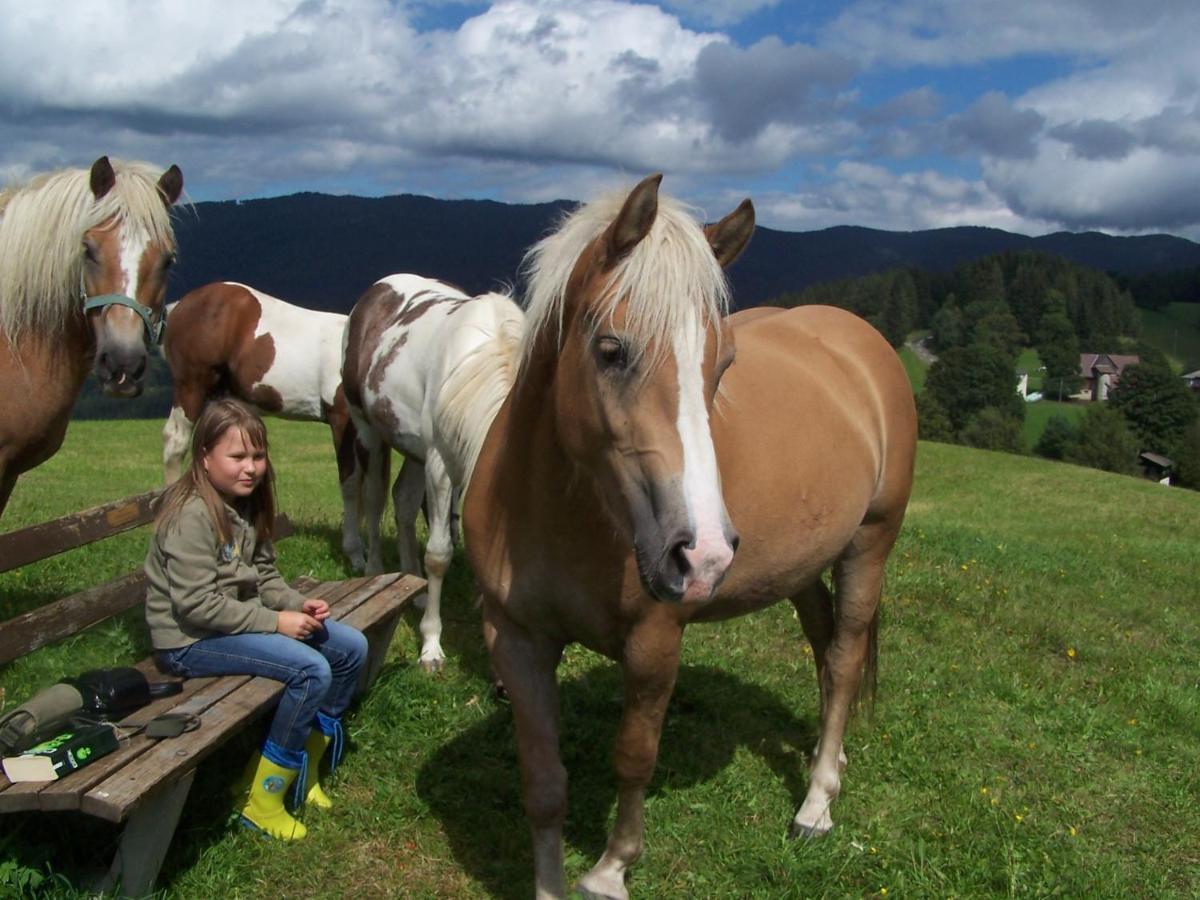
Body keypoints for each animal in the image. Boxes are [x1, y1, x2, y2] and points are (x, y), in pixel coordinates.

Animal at [159, 283, 364, 571]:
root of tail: (179, 305)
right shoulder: (342, 420)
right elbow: (351, 481)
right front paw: (356, 554)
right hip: (191, 387)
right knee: (175, 443)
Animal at [340, 274, 523, 672]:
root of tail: (376, 290)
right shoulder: (440, 465)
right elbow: (439, 555)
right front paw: (431, 647)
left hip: (414, 450)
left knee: (403, 502)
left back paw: (415, 586)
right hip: (368, 431)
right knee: (375, 501)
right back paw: (374, 570)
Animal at [463, 172, 912, 897]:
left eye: (722, 364)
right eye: (611, 350)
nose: (701, 555)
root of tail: (862, 344)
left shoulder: (654, 645)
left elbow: (633, 757)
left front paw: (611, 870)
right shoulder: (516, 639)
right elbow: (544, 783)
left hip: (869, 545)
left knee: (844, 659)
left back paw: (816, 803)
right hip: (803, 565)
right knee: (823, 646)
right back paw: (830, 758)